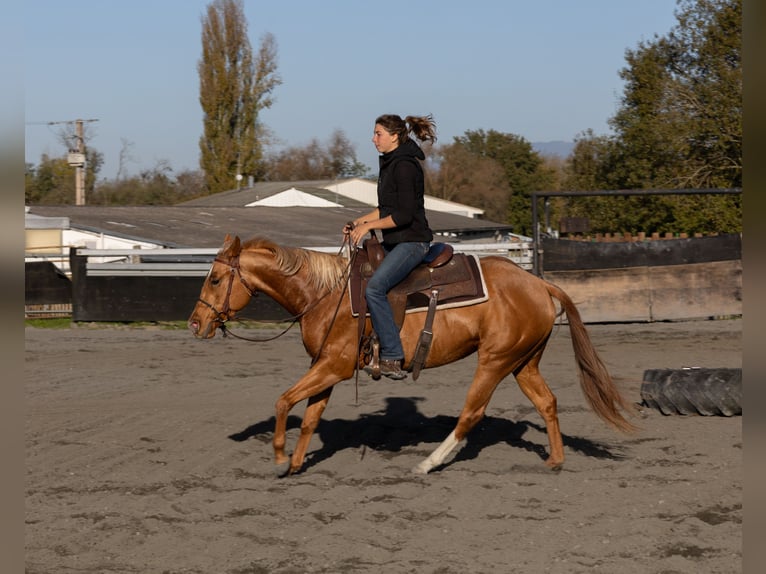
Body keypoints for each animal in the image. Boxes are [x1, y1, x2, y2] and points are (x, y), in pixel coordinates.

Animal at [188, 234, 636, 476]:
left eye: (215, 279)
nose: (195, 324)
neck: (324, 294)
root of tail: (539, 284)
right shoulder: (325, 368)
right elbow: (310, 416)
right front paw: (297, 463)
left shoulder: (333, 367)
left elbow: (284, 401)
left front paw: (281, 458)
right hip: (523, 362)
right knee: (547, 402)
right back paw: (555, 461)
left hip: (494, 361)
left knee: (471, 414)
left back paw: (428, 463)